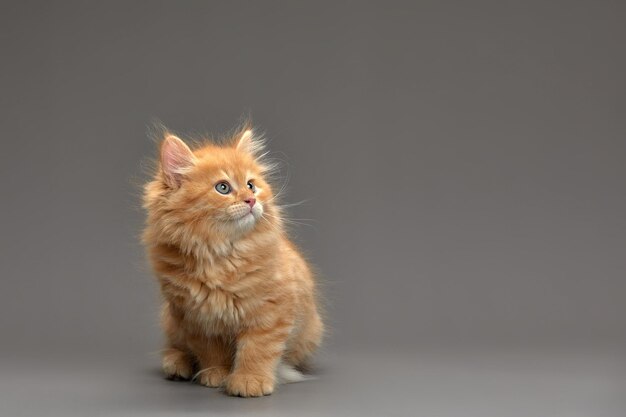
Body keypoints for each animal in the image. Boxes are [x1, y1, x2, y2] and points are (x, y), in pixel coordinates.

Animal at [142, 125, 324, 394]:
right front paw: (217, 374)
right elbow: (211, 352)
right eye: (223, 188)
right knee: (177, 346)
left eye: (251, 185)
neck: (220, 255)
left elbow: (257, 350)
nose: (251, 200)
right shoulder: (196, 318)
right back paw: (177, 364)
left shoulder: (270, 312)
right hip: (171, 321)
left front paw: (250, 381)